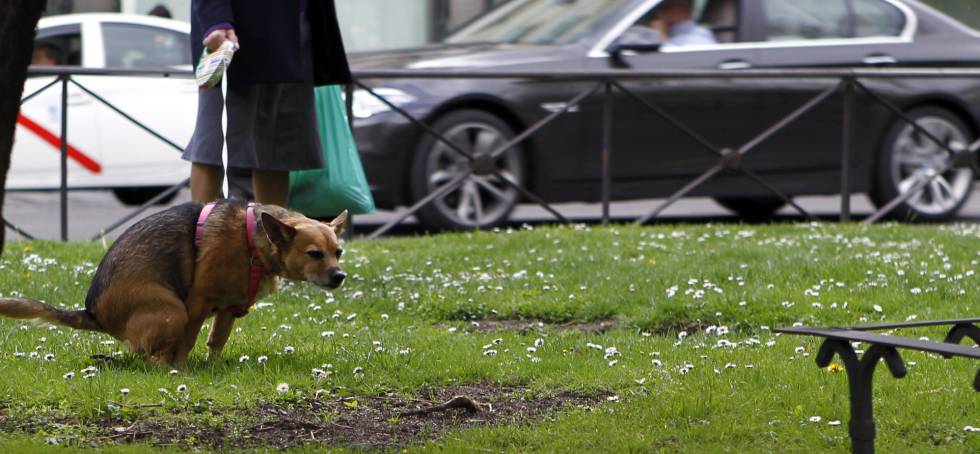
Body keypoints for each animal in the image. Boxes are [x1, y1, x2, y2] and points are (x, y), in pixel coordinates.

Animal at [0, 200, 348, 368]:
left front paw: (212, 366)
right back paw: (163, 367)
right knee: (153, 358)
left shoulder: (228, 311)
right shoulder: (197, 304)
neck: (252, 241)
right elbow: (187, 342)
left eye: (338, 252)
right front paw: (183, 370)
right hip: (173, 310)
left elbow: (215, 342)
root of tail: (93, 314)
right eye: (314, 254)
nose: (339, 276)